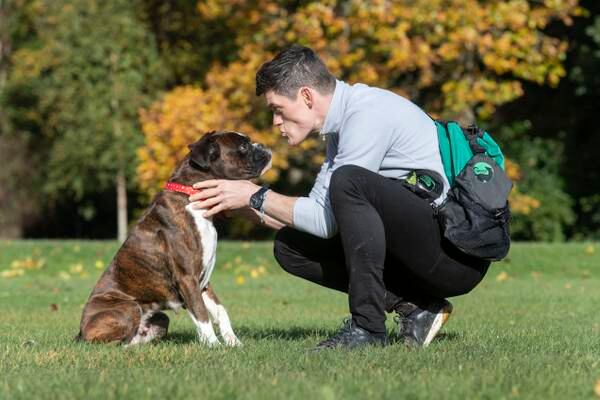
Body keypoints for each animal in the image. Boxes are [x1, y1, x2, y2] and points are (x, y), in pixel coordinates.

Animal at [77, 131, 272, 346]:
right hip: (129, 307)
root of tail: (80, 331)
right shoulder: (187, 279)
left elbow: (220, 311)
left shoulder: (203, 281)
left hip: (160, 318)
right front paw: (214, 345)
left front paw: (233, 342)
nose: (263, 145)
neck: (193, 198)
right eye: (243, 147)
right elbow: (202, 314)